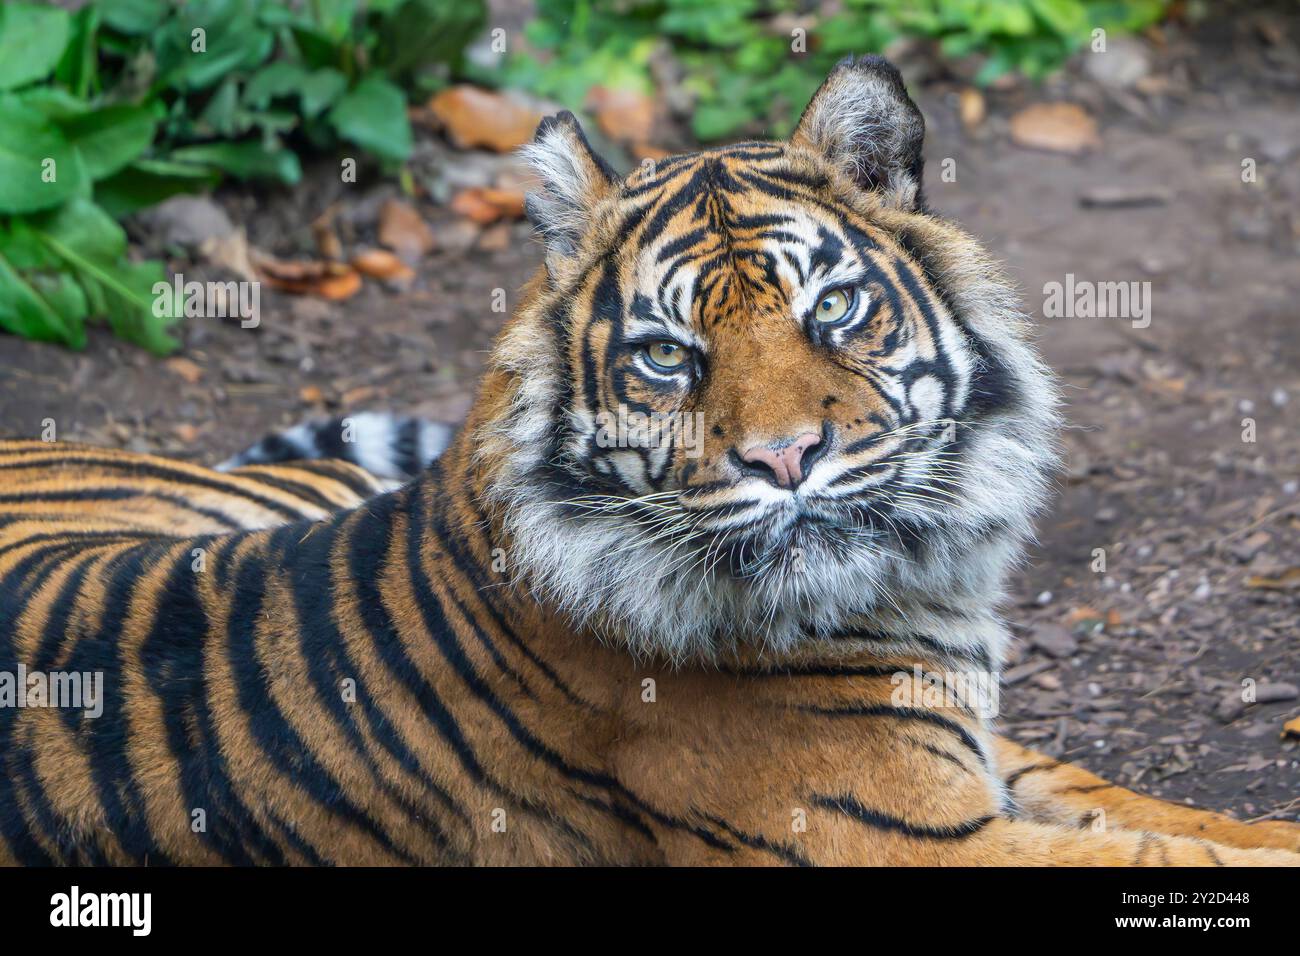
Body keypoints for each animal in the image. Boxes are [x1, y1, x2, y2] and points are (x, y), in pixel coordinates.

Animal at [1, 55, 1296, 866]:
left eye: (832, 307)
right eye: (668, 356)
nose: (787, 457)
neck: (912, 585)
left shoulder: (979, 747)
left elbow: (1138, 803)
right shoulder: (903, 834)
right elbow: (1154, 845)